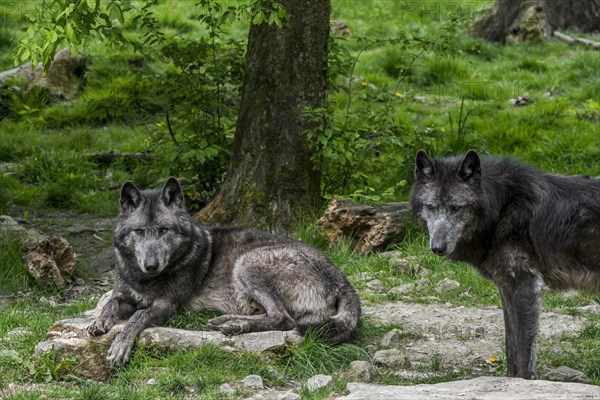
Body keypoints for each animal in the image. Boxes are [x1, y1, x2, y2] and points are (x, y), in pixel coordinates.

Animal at [88, 178, 360, 366]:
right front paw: (99, 321)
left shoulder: (166, 304)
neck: (144, 278)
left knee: (284, 319)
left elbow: (138, 316)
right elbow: (111, 302)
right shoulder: (124, 294)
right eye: (140, 231)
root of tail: (343, 279)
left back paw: (235, 325)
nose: (151, 265)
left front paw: (120, 345)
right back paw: (226, 321)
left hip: (247, 263)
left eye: (164, 230)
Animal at [410, 149, 600, 378]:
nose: (438, 247)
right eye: (431, 207)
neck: (501, 207)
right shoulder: (507, 289)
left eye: (456, 208)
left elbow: (523, 355)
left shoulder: (526, 287)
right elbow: (511, 349)